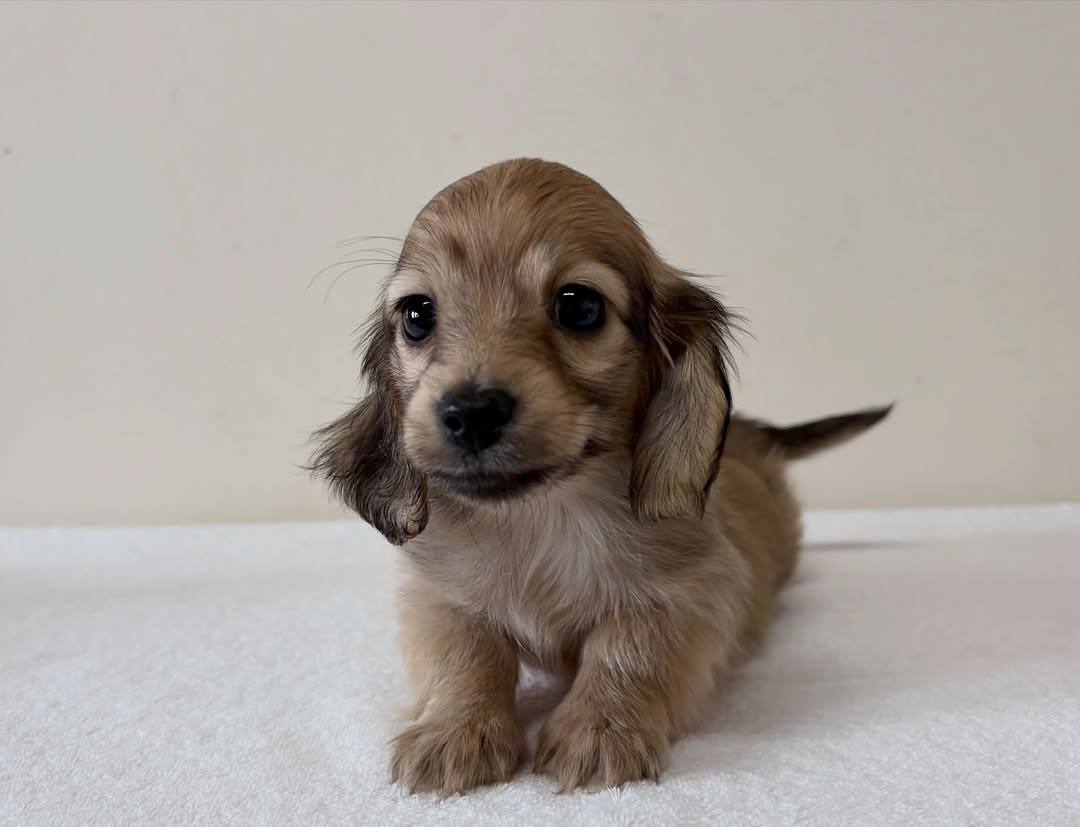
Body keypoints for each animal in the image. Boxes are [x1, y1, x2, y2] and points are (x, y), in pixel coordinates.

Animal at [312, 158, 889, 794]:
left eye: (579, 306)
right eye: (417, 315)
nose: (471, 413)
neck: (541, 518)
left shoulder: (696, 589)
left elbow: (628, 645)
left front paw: (599, 729)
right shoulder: (439, 596)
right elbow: (465, 652)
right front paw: (454, 731)